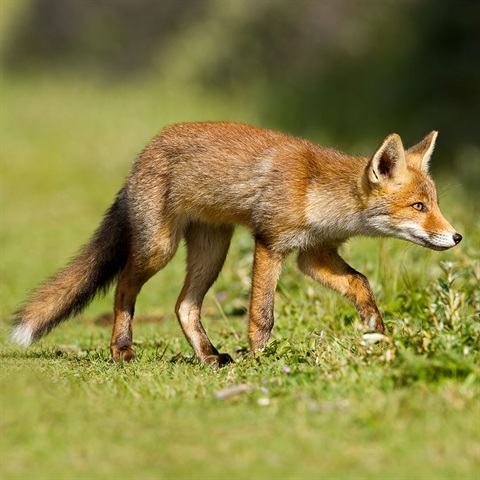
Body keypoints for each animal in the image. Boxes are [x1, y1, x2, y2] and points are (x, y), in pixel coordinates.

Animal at [10, 123, 462, 364]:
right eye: (419, 206)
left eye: (435, 204)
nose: (457, 236)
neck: (319, 191)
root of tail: (145, 153)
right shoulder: (271, 242)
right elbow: (262, 315)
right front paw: (260, 358)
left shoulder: (314, 254)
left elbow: (361, 283)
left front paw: (377, 332)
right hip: (158, 248)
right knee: (124, 287)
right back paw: (122, 348)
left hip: (213, 252)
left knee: (184, 306)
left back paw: (209, 356)